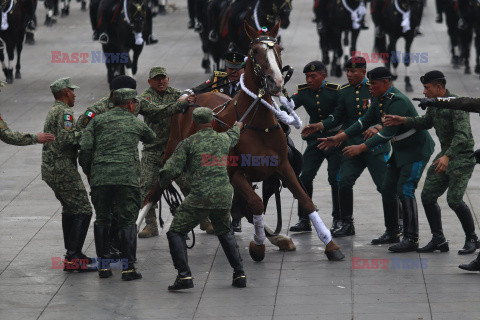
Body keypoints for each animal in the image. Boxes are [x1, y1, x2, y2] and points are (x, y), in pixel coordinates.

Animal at [163, 21, 344, 262]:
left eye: (279, 49)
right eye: (256, 51)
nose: (276, 81)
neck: (256, 122)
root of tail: (189, 99)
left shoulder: (283, 167)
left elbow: (305, 200)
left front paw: (330, 244)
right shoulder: (235, 173)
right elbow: (256, 204)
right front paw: (258, 245)